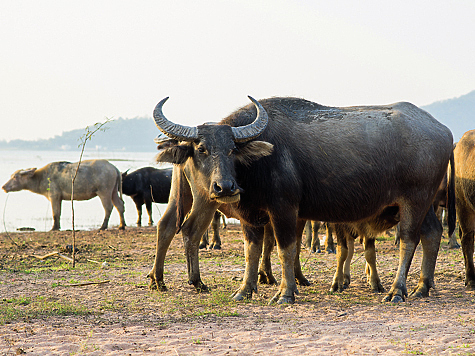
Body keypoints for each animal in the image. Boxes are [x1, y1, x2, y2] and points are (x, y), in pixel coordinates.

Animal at [151, 95, 456, 304]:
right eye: (202, 149)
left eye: (232, 149)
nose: (225, 187)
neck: (259, 164)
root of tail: (444, 132)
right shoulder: (251, 215)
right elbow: (252, 251)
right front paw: (245, 290)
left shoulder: (285, 209)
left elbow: (286, 249)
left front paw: (286, 293)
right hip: (425, 204)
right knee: (432, 233)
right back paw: (422, 286)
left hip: (414, 201)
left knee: (409, 240)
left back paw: (397, 290)